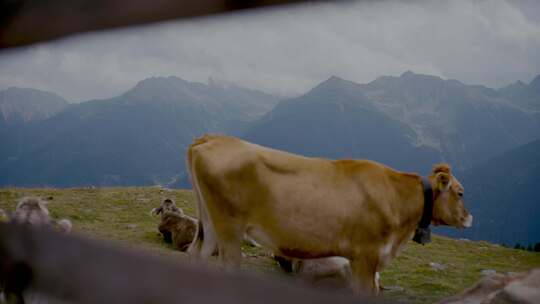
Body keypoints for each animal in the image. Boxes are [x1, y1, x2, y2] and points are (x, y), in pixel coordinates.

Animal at [187, 135, 472, 294]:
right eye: (460, 192)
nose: (470, 218)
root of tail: (212, 138)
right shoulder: (367, 256)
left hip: (210, 223)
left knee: (196, 255)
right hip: (229, 227)